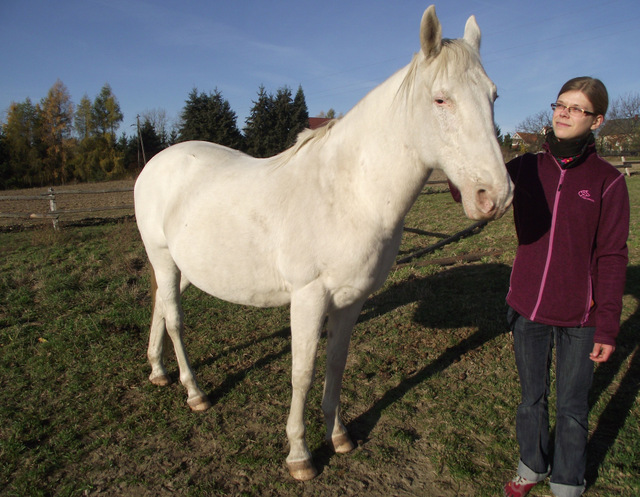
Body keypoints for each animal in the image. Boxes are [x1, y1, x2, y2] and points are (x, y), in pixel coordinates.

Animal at [132, 5, 512, 480]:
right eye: (441, 99)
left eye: (493, 96)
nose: (495, 196)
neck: (350, 193)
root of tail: (156, 163)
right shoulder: (308, 297)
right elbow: (303, 373)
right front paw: (300, 455)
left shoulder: (350, 300)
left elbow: (335, 364)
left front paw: (339, 435)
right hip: (164, 258)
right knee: (176, 321)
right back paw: (195, 392)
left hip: (183, 266)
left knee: (160, 309)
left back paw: (158, 371)